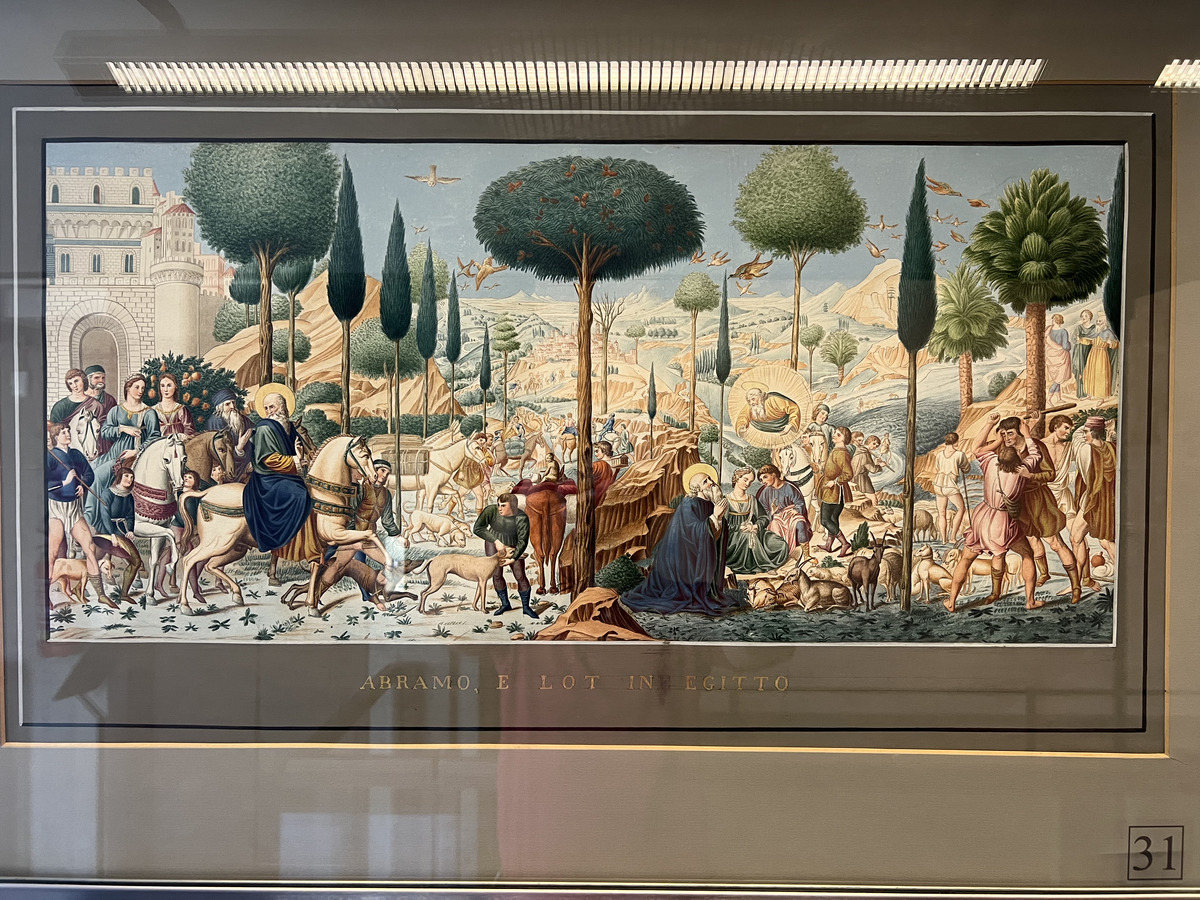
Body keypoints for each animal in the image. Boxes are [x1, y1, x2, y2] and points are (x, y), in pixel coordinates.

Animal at [129, 435, 188, 602]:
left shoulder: (159, 530)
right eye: (166, 459)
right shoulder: (139, 527)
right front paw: (170, 567)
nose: (179, 485)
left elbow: (154, 559)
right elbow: (171, 535)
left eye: (184, 459)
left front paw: (150, 595)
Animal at [176, 434, 391, 615]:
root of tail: (205, 493)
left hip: (234, 547)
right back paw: (185, 605)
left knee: (210, 564)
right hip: (218, 542)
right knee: (189, 560)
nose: (374, 478)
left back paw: (235, 594)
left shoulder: (323, 544)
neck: (325, 493)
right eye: (364, 455)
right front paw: (389, 563)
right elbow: (371, 536)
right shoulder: (335, 534)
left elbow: (317, 567)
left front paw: (311, 605)